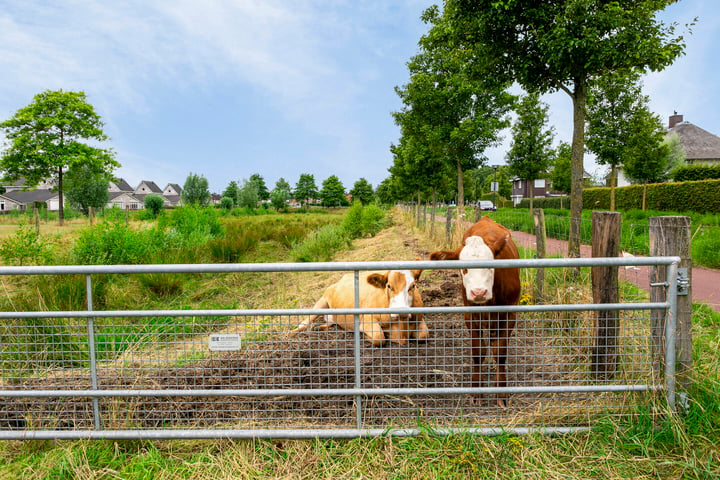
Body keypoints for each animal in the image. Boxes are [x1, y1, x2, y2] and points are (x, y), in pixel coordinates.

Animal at [292, 270, 428, 344]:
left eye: (413, 286)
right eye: (389, 286)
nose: (401, 311)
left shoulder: (419, 318)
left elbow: (424, 335)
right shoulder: (367, 319)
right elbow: (379, 337)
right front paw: (367, 336)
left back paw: (318, 328)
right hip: (322, 300)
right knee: (304, 323)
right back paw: (291, 333)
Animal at [430, 217, 520, 404]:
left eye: (490, 265)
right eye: (464, 268)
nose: (478, 292)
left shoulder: (510, 314)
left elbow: (500, 353)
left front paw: (501, 392)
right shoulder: (470, 315)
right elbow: (478, 352)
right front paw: (476, 390)